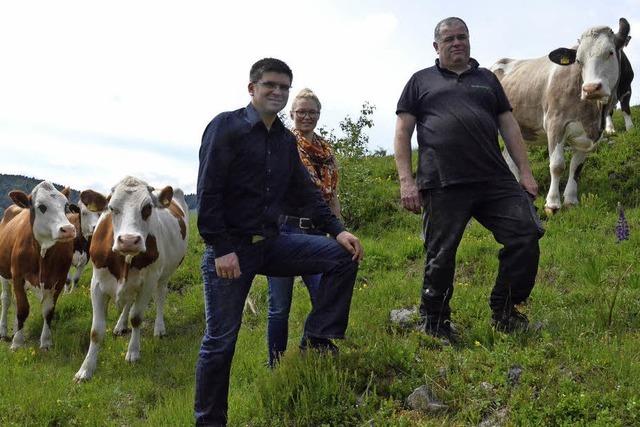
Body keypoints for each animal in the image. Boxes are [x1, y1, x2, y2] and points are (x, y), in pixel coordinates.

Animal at [0, 182, 78, 350]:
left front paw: (46, 342)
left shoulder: (59, 280)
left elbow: (48, 311)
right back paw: (4, 331)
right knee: (7, 299)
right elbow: (23, 309)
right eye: (42, 206)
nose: (68, 229)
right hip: (4, 275)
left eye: (66, 206)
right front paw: (17, 343)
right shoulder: (18, 277)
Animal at [74, 176, 188, 382]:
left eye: (148, 208)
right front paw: (86, 369)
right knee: (128, 301)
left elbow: (136, 318)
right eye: (112, 208)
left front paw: (133, 352)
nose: (128, 240)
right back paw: (120, 324)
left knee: (160, 297)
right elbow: (96, 331)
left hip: (164, 275)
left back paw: (159, 328)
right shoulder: (97, 285)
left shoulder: (148, 281)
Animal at [490, 18, 632, 216]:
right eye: (579, 61)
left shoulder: (589, 135)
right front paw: (552, 204)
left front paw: (571, 200)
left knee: (510, 158)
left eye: (610, 52)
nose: (590, 88)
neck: (592, 113)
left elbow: (576, 167)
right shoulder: (555, 124)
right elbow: (557, 165)